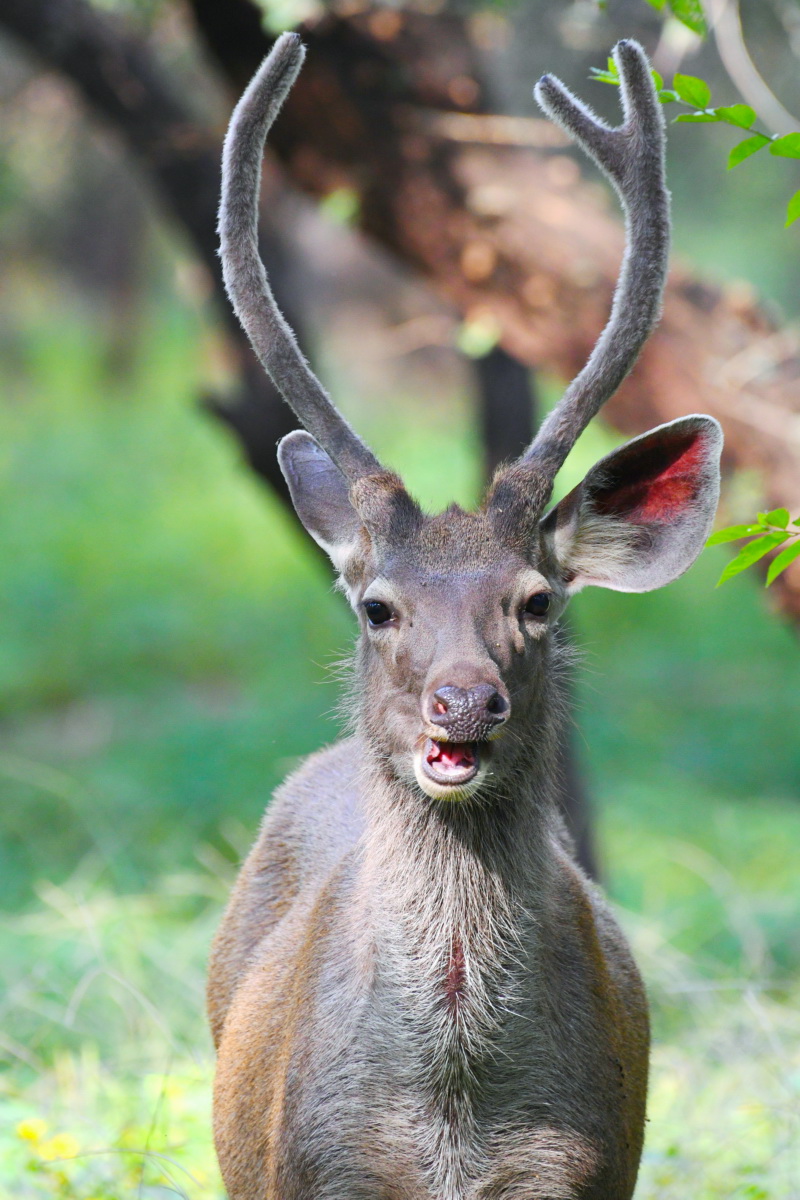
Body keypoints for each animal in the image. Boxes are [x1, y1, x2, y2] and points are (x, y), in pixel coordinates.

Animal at [207, 33, 722, 1200]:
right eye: (377, 607)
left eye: (535, 601)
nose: (464, 701)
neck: (450, 1124)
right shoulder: (314, 1169)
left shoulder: (584, 1165)